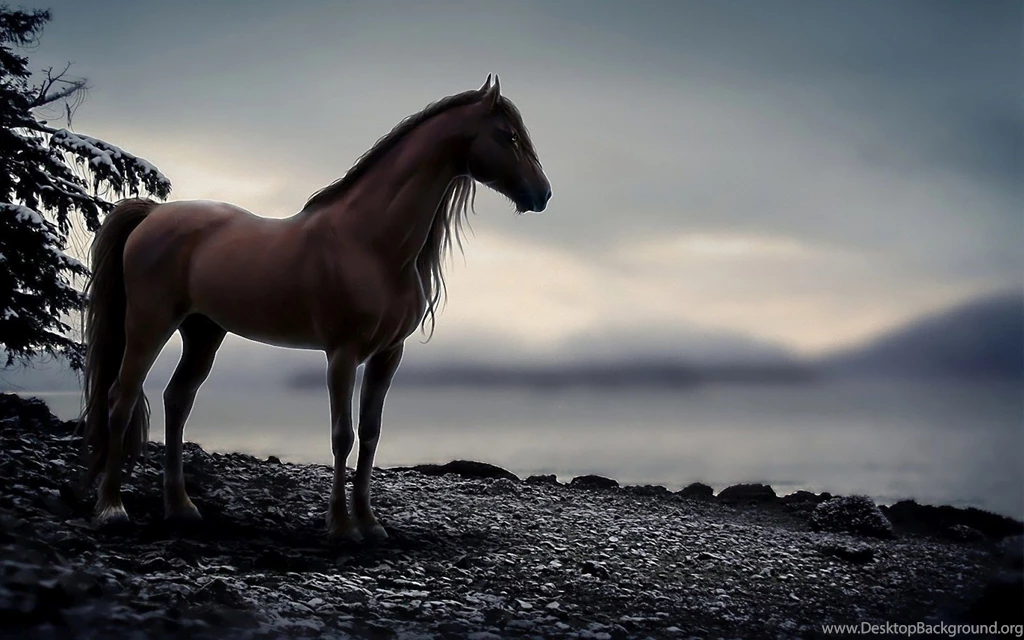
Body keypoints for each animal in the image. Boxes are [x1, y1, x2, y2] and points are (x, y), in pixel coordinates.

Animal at [80, 75, 551, 542]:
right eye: (508, 135)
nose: (542, 193)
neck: (369, 243)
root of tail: (151, 214)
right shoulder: (342, 354)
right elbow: (342, 435)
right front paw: (342, 526)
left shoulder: (387, 355)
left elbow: (371, 433)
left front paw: (370, 522)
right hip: (149, 324)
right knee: (121, 398)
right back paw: (112, 508)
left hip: (204, 332)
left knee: (177, 400)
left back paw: (181, 508)